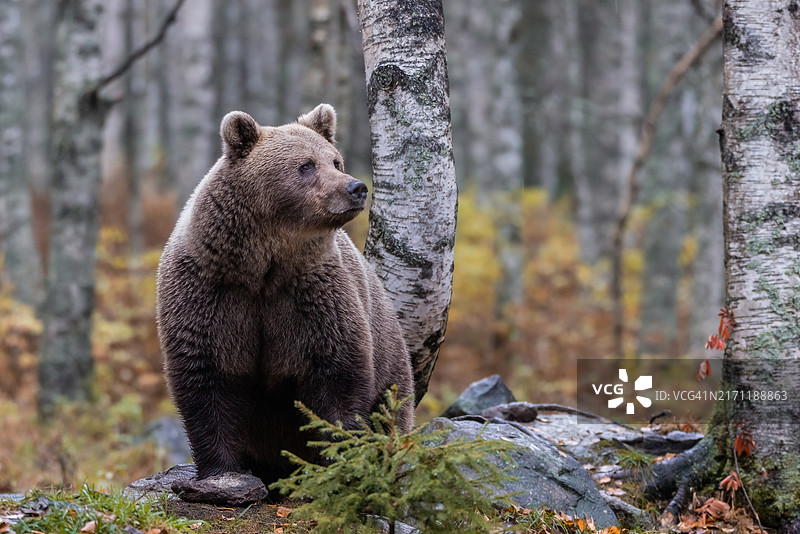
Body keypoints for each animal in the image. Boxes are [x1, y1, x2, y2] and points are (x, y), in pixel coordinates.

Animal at [156, 104, 415, 485]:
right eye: (306, 165)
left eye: (335, 160)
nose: (356, 187)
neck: (265, 266)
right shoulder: (211, 293)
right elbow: (207, 377)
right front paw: (223, 472)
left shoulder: (313, 296)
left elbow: (335, 373)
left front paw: (338, 457)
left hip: (392, 365)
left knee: (390, 411)